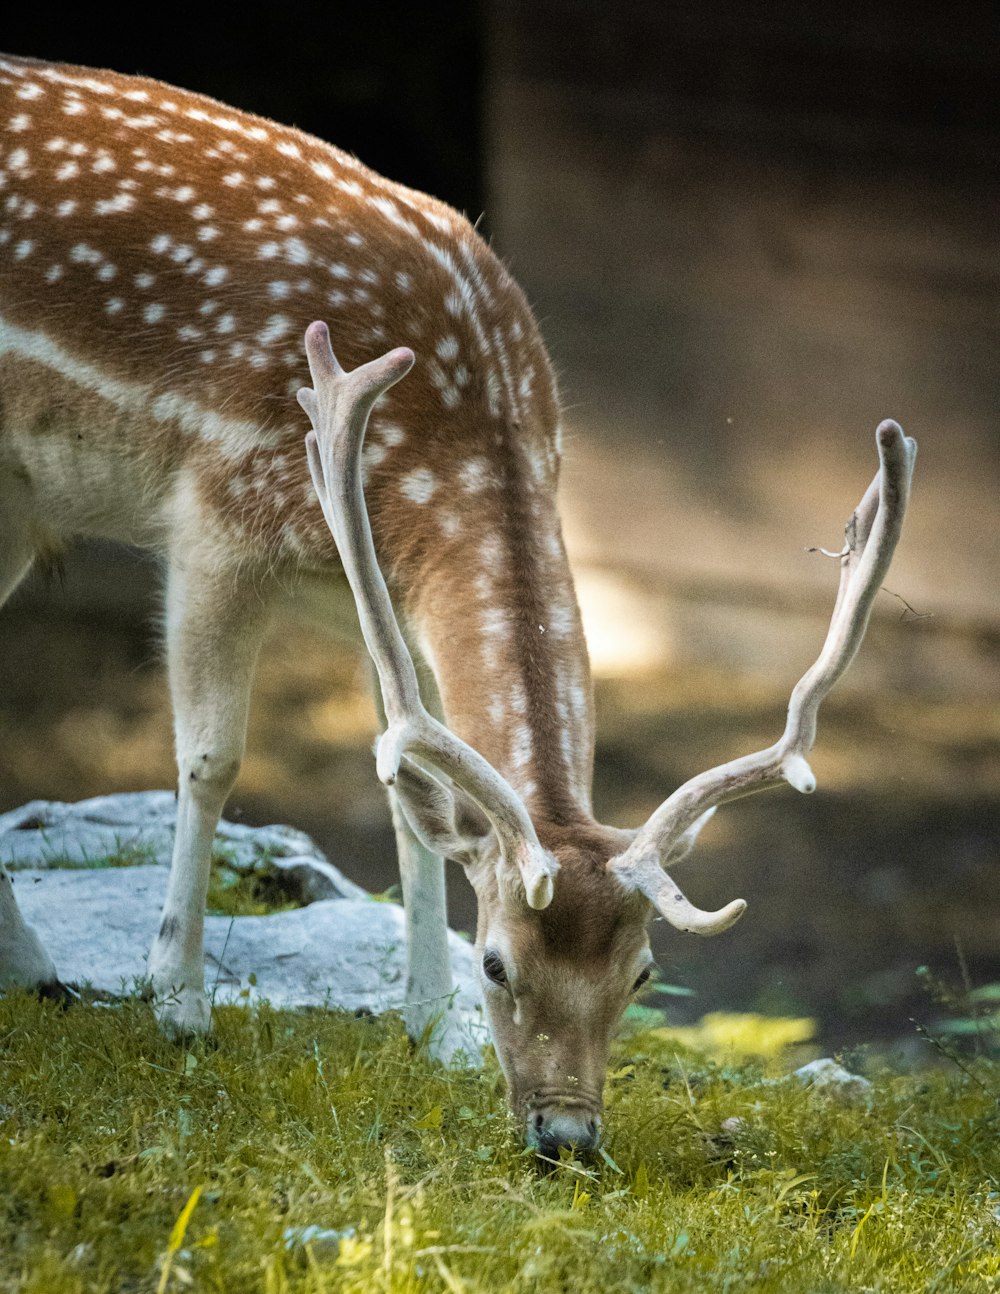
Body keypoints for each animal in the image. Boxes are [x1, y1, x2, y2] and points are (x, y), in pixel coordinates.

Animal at [0, 55, 910, 1159]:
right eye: (498, 962)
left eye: (640, 973)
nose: (566, 1132)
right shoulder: (215, 519)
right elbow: (211, 760)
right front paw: (177, 1001)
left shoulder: (376, 596)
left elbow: (407, 796)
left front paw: (430, 1031)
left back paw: (33, 970)